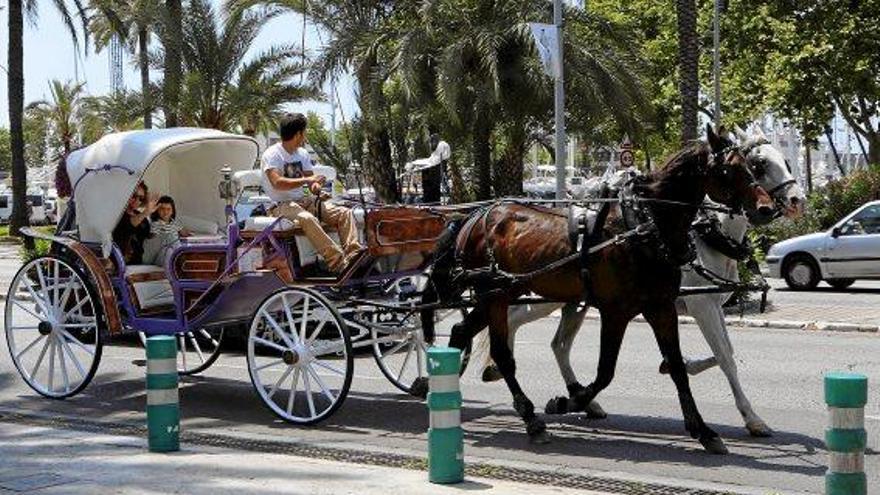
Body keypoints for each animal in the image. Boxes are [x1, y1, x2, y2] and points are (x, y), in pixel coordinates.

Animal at [430, 127, 772, 454]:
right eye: (732, 169)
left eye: (750, 166)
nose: (766, 208)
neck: (644, 225)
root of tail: (473, 217)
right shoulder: (616, 311)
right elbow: (606, 371)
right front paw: (568, 401)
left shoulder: (661, 307)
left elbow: (677, 367)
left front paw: (703, 430)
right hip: (496, 295)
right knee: (503, 351)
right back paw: (530, 417)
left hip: (502, 293)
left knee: (463, 331)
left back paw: (440, 391)